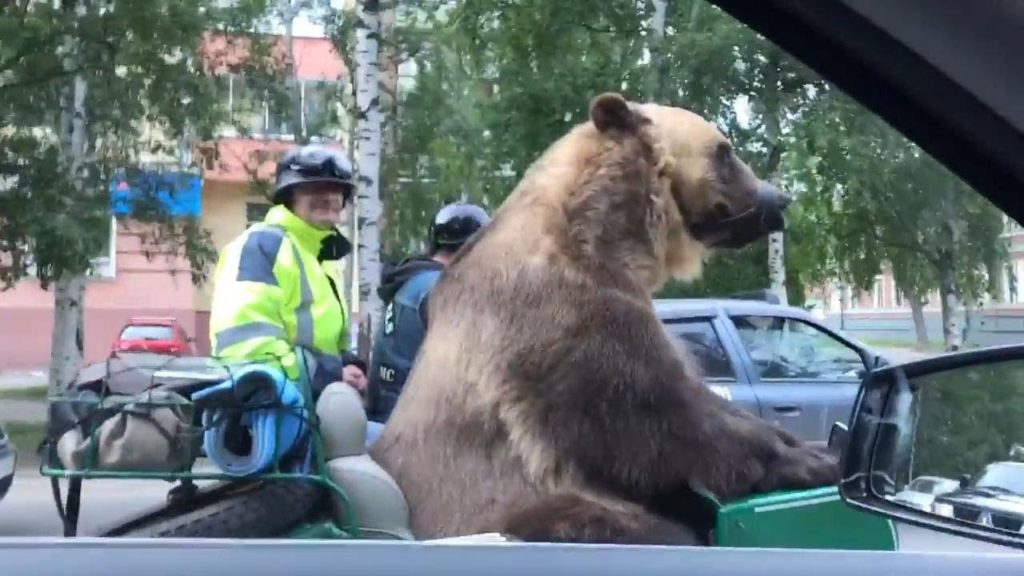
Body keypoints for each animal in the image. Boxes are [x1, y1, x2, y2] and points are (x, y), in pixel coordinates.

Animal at [370, 93, 839, 541]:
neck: (603, 239)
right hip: (504, 505)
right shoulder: (562, 319)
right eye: (724, 151)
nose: (778, 199)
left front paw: (810, 446)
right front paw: (812, 460)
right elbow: (656, 416)